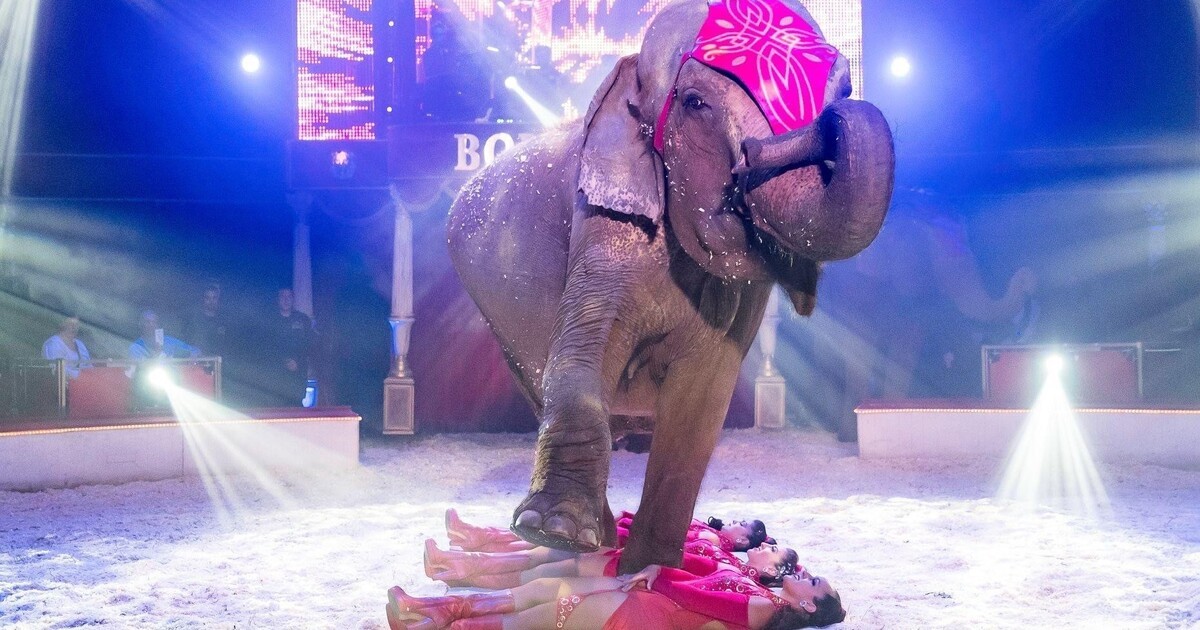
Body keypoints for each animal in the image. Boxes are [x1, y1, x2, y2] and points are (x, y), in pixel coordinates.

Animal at [446, 0, 897, 571]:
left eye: (840, 88)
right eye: (695, 103)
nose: (835, 115)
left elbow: (701, 399)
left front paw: (652, 569)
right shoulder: (602, 212)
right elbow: (581, 351)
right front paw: (552, 532)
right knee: (538, 379)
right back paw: (593, 542)